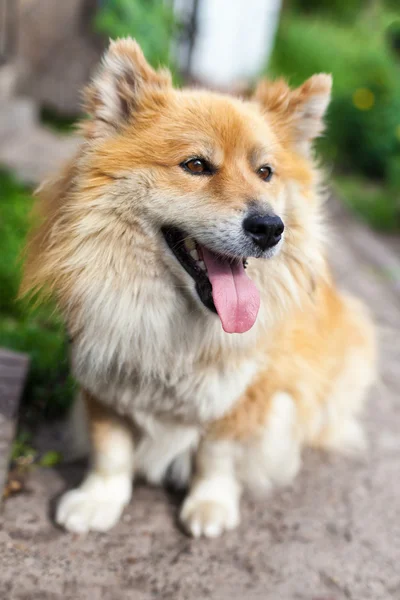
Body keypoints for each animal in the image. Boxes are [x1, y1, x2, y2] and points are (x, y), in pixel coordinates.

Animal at [21, 37, 378, 536]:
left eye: (265, 172)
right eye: (196, 165)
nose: (270, 227)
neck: (179, 326)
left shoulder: (247, 393)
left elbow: (217, 454)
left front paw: (210, 505)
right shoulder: (100, 369)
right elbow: (110, 448)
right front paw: (98, 500)